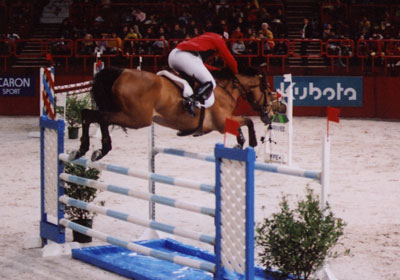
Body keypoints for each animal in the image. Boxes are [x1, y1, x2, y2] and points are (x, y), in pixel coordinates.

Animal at [69, 66, 284, 161]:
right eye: (268, 92)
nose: (267, 114)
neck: (226, 89)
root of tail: (121, 72)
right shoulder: (222, 122)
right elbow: (247, 121)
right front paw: (250, 144)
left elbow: (242, 125)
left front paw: (240, 143)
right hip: (136, 118)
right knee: (102, 118)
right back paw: (102, 149)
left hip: (122, 112)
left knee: (88, 114)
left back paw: (83, 148)